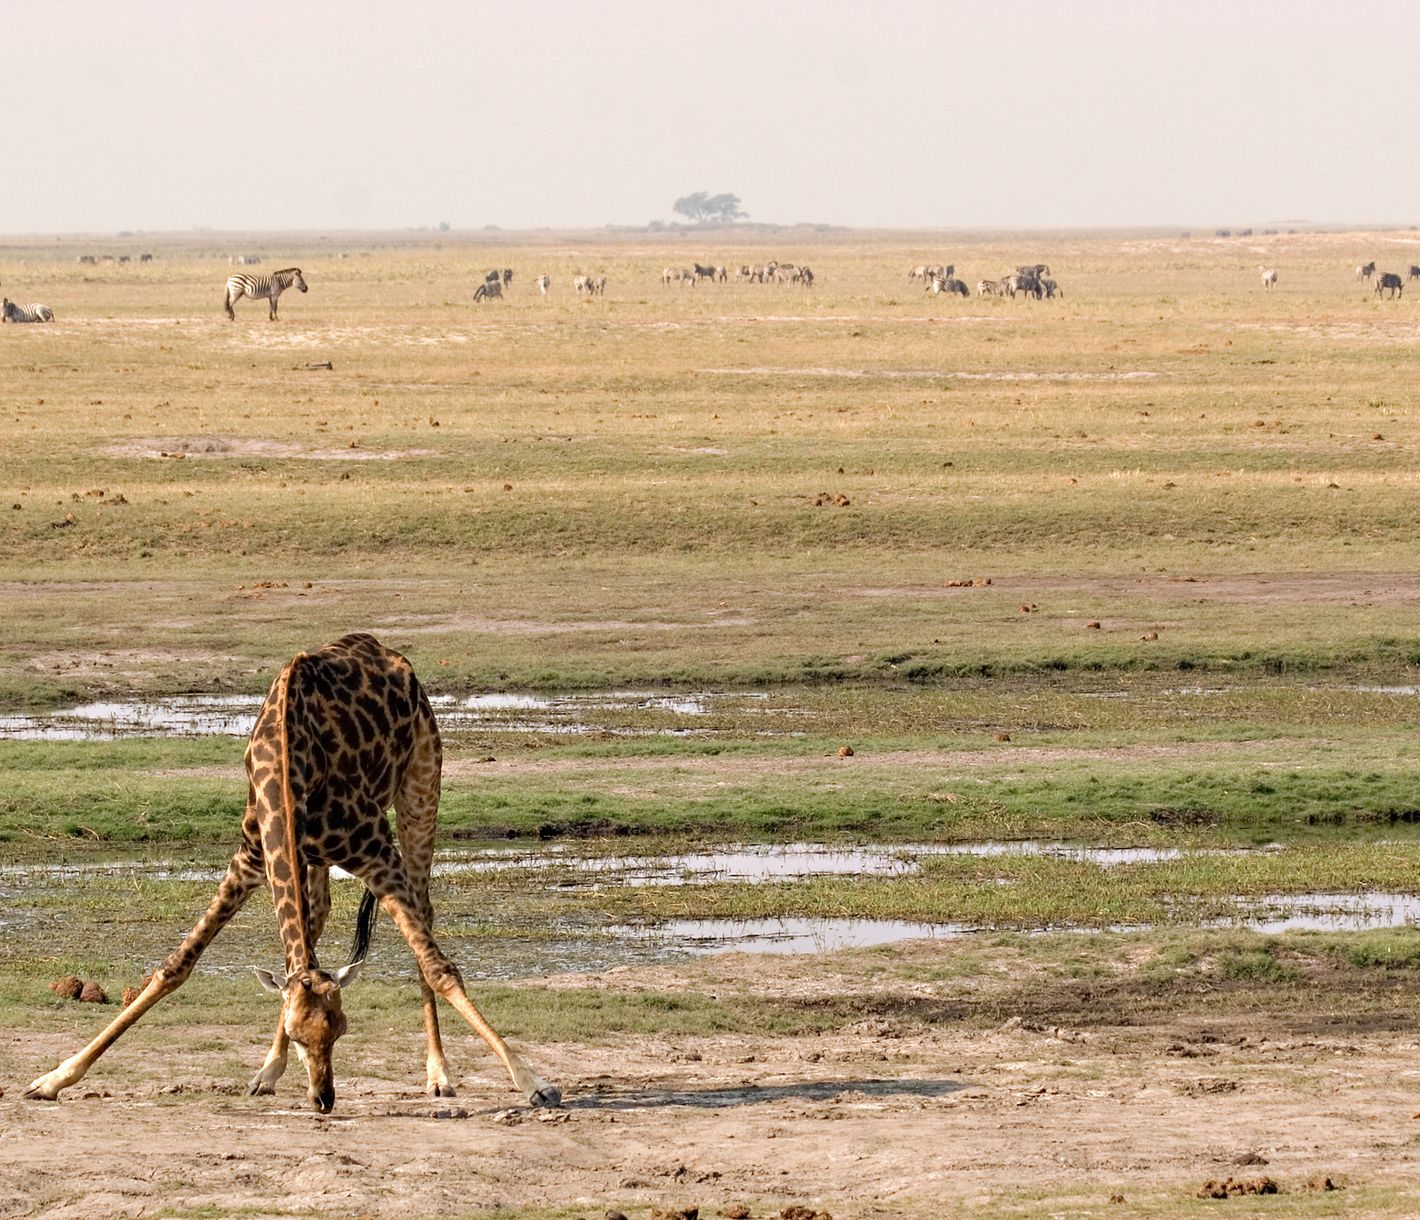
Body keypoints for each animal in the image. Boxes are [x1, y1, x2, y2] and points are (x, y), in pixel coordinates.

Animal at [24, 633, 560, 1113]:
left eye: (342, 1029)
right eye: (296, 1033)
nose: (324, 1099)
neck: (288, 764)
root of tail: (390, 653)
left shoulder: (374, 853)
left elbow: (439, 966)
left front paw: (534, 1082)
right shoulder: (250, 860)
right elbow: (176, 966)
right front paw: (52, 1079)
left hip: (421, 787)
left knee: (423, 915)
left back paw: (439, 1076)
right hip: (314, 862)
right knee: (314, 925)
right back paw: (266, 1073)